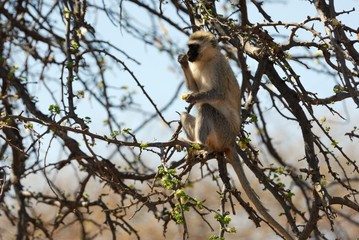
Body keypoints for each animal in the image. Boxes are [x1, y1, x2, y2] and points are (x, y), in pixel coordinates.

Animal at [179, 31, 294, 239]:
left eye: (194, 47)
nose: (188, 54)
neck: (206, 60)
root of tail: (232, 139)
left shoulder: (218, 68)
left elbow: (215, 94)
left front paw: (193, 97)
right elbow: (195, 88)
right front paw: (182, 62)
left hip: (222, 131)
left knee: (205, 108)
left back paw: (200, 145)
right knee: (186, 114)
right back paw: (193, 146)